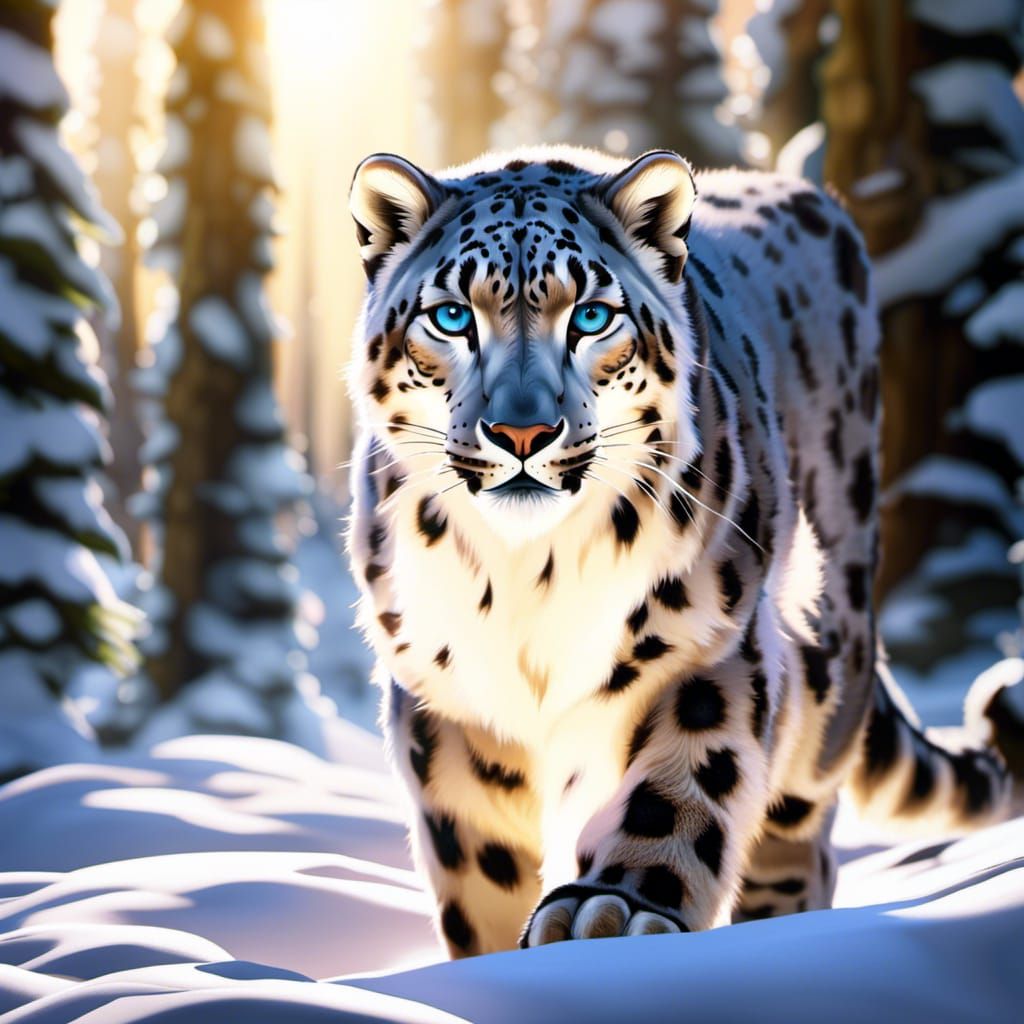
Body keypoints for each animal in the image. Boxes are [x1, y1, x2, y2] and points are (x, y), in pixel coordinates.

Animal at [344, 144, 1023, 957]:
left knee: (800, 831)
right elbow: (479, 859)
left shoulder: (704, 640)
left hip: (832, 650)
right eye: (451, 316)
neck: (529, 577)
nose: (521, 433)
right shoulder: (446, 697)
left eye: (592, 316)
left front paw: (613, 911)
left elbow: (683, 781)